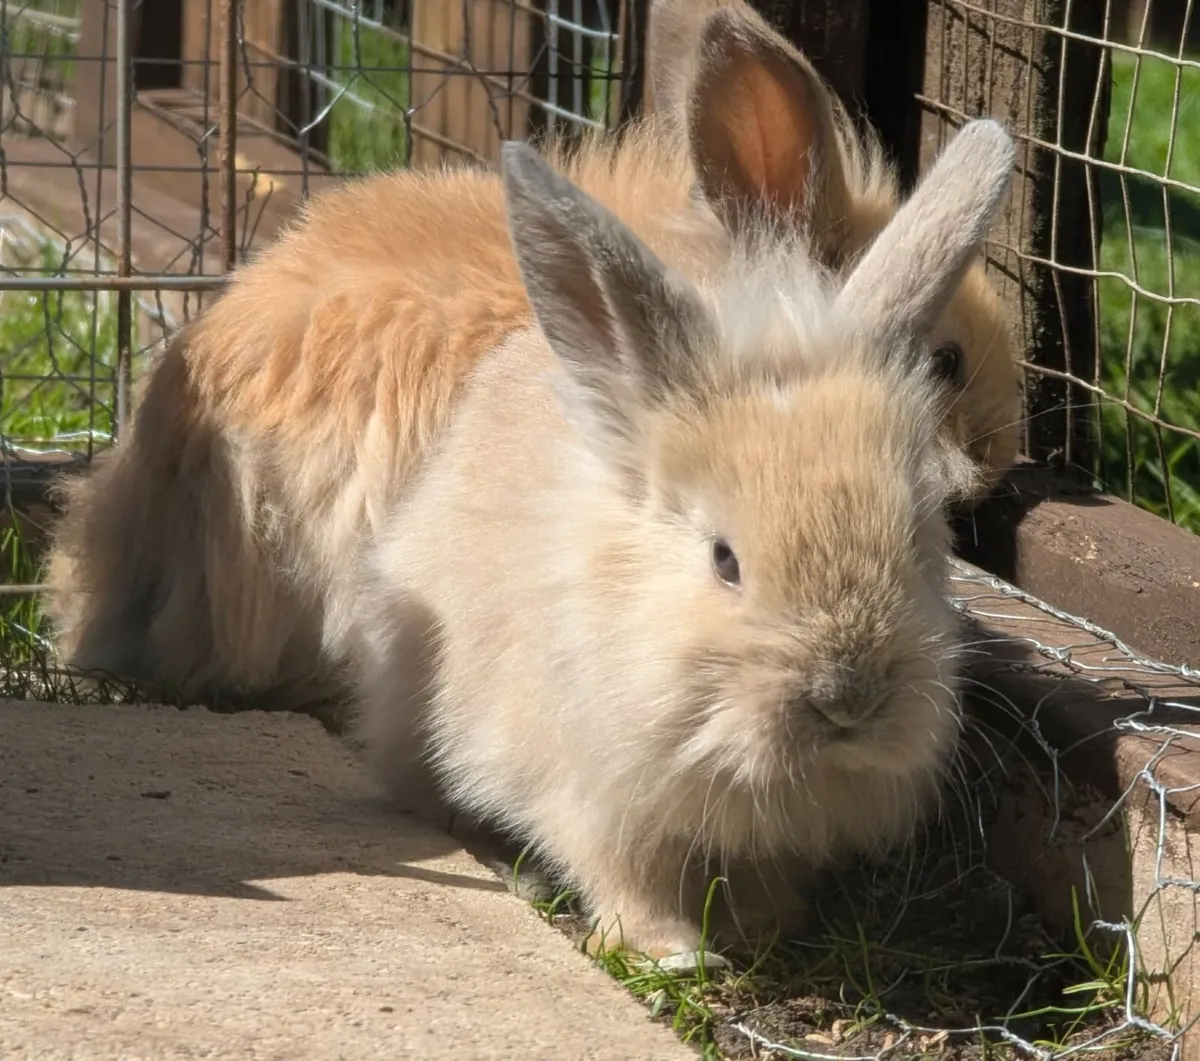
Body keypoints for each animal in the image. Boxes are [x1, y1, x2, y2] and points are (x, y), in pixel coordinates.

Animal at [351, 119, 1017, 959]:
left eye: (917, 543)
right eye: (724, 560)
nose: (848, 699)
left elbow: (761, 876)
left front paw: (764, 927)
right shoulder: (593, 800)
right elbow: (624, 877)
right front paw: (672, 950)